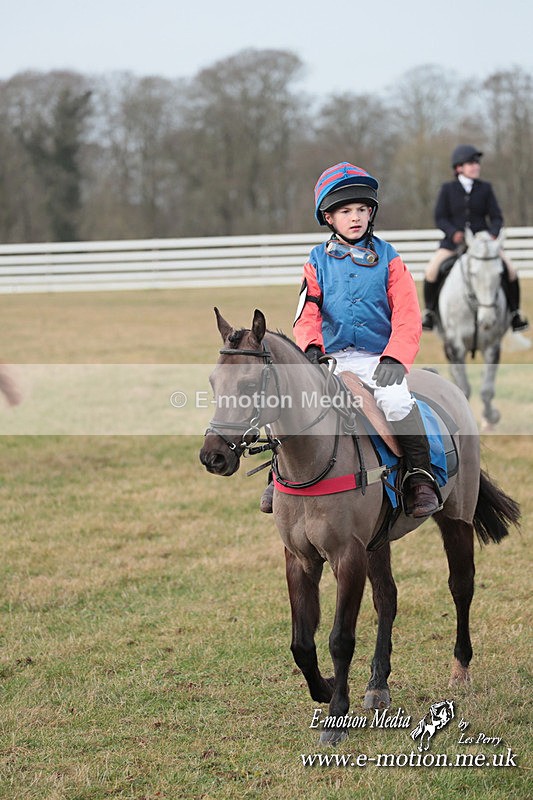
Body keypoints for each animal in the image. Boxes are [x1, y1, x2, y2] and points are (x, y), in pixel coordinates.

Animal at [199, 308, 520, 745]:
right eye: (214, 383)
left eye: (249, 384)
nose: (213, 456)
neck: (313, 461)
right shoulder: (300, 558)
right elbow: (302, 642)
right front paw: (327, 688)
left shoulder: (346, 556)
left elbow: (340, 639)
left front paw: (335, 714)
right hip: (378, 542)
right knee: (388, 597)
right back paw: (378, 685)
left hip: (456, 517)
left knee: (461, 586)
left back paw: (460, 668)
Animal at [437, 228, 509, 430]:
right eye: (473, 274)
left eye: (500, 274)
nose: (487, 320)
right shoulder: (455, 345)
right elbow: (462, 387)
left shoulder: (493, 345)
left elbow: (487, 390)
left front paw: (491, 418)